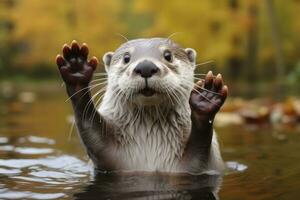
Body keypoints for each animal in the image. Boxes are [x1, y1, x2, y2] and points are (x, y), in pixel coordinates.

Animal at [55, 38, 227, 174]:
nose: (145, 66)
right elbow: (91, 133)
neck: (150, 141)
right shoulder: (108, 158)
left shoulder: (203, 165)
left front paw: (207, 96)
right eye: (126, 58)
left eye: (168, 55)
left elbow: (200, 152)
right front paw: (76, 69)